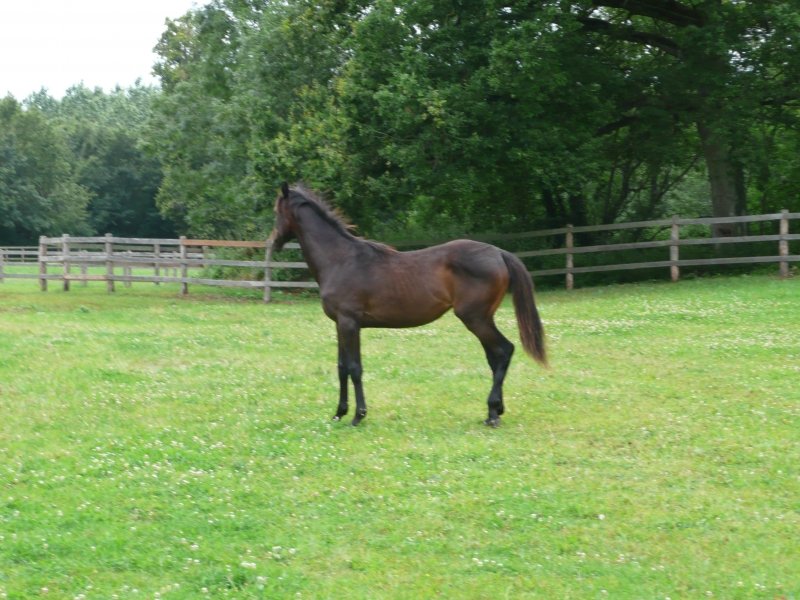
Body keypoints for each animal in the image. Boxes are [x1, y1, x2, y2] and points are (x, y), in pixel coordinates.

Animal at [268, 182, 547, 426]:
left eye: (277, 211)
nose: (273, 243)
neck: (340, 260)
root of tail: (499, 253)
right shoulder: (340, 324)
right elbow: (341, 367)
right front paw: (339, 413)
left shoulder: (350, 322)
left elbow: (355, 368)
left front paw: (358, 416)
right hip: (483, 319)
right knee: (495, 357)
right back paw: (494, 412)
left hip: (475, 318)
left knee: (504, 351)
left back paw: (493, 411)